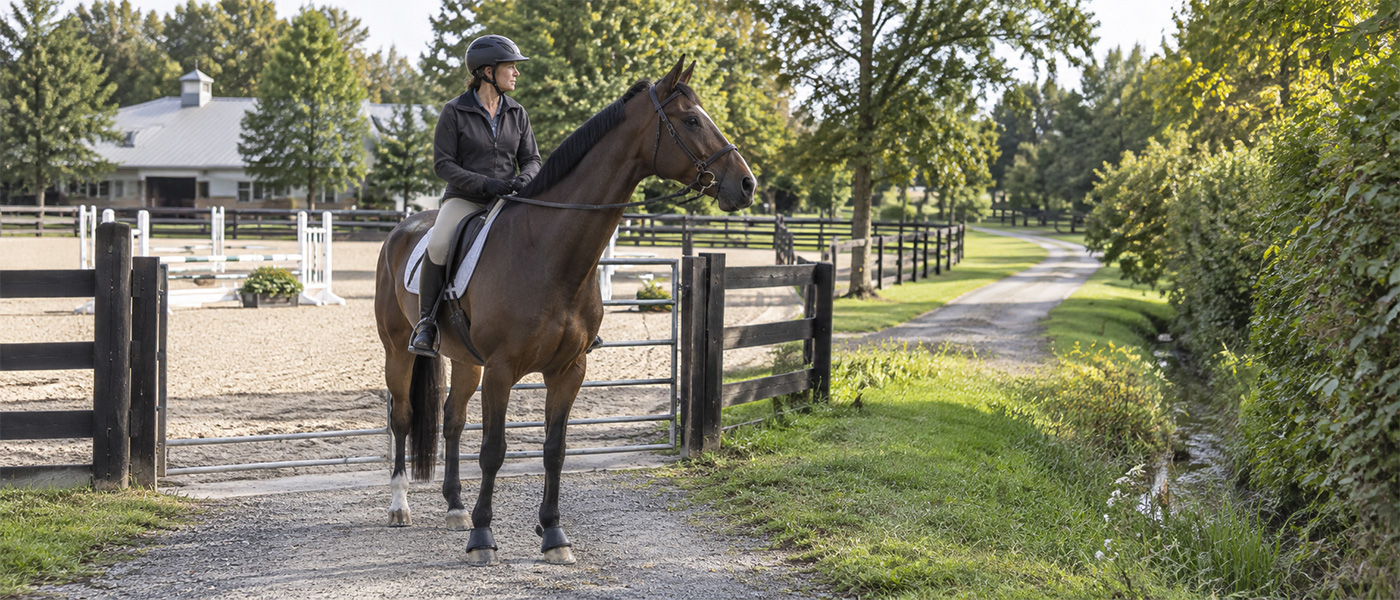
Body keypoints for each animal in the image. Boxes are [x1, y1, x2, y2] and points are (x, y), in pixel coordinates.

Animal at [374, 57, 755, 566]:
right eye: (692, 120)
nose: (747, 184)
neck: (546, 251)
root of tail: (403, 228)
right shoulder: (501, 370)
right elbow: (493, 451)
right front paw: (483, 538)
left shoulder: (569, 369)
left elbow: (555, 449)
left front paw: (553, 534)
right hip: (400, 350)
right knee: (402, 416)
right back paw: (401, 506)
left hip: (464, 360)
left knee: (452, 419)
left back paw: (455, 507)